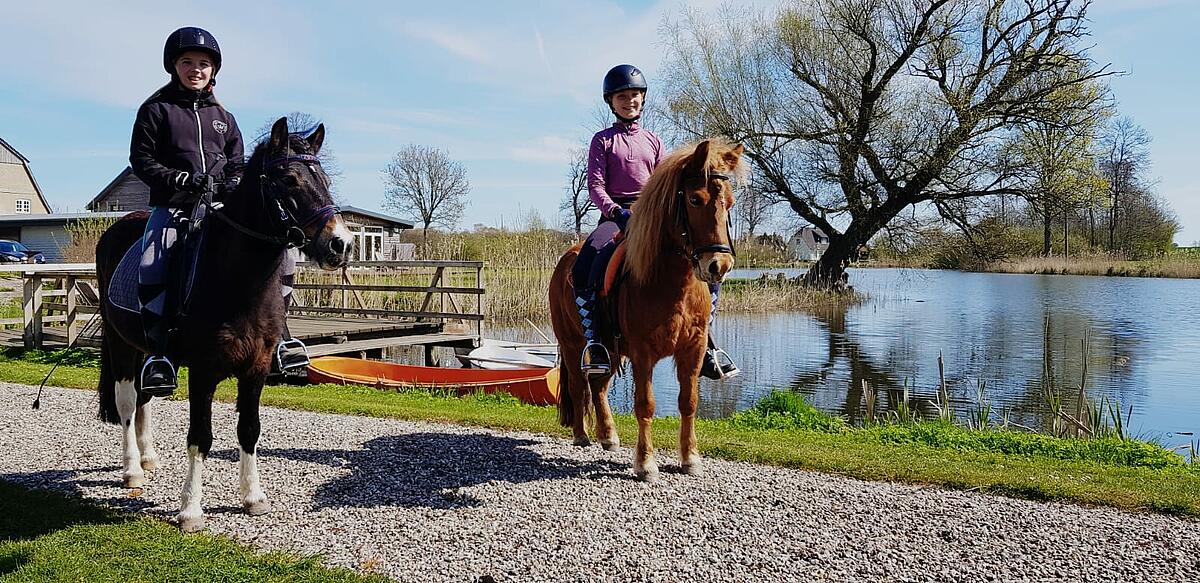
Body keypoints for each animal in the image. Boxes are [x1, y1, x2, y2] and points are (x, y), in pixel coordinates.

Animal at [549, 139, 739, 479]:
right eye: (695, 199)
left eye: (729, 202)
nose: (718, 265)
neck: (673, 283)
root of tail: (565, 260)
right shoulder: (642, 352)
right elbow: (645, 404)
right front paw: (646, 463)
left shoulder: (693, 349)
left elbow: (689, 402)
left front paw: (690, 459)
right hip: (572, 344)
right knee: (578, 384)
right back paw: (581, 435)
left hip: (609, 350)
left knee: (598, 386)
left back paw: (608, 436)